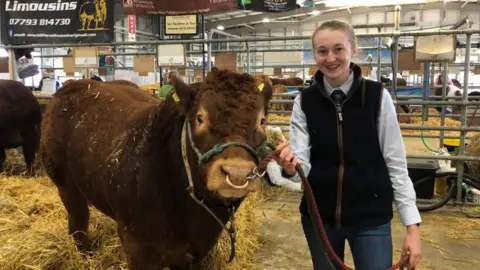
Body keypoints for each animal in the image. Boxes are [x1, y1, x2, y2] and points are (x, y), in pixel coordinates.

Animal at [39, 68, 272, 268]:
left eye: (262, 121)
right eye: (200, 117)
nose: (237, 173)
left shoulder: (197, 253)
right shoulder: (138, 248)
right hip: (65, 183)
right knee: (78, 222)